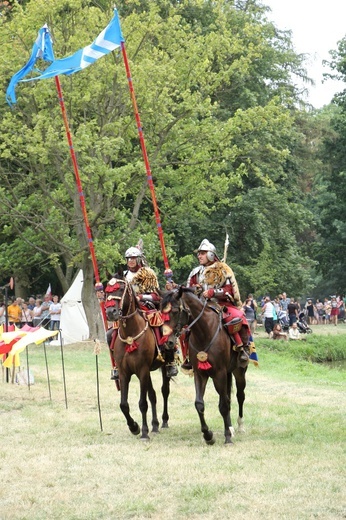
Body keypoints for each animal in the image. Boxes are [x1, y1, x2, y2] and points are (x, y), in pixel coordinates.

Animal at [103, 276, 172, 438]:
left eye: (121, 289)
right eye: (107, 291)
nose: (110, 312)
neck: (130, 333)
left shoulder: (142, 370)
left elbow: (142, 403)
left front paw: (144, 432)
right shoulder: (124, 373)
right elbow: (124, 404)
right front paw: (134, 427)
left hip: (162, 366)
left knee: (164, 391)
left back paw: (164, 421)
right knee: (152, 394)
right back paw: (155, 425)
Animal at [161, 286, 247, 444]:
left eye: (174, 311)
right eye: (161, 312)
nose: (167, 342)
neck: (205, 332)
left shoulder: (219, 373)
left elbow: (223, 405)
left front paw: (227, 437)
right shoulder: (200, 374)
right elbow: (199, 404)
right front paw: (208, 435)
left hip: (239, 371)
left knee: (239, 396)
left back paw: (240, 426)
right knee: (228, 397)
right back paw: (231, 427)